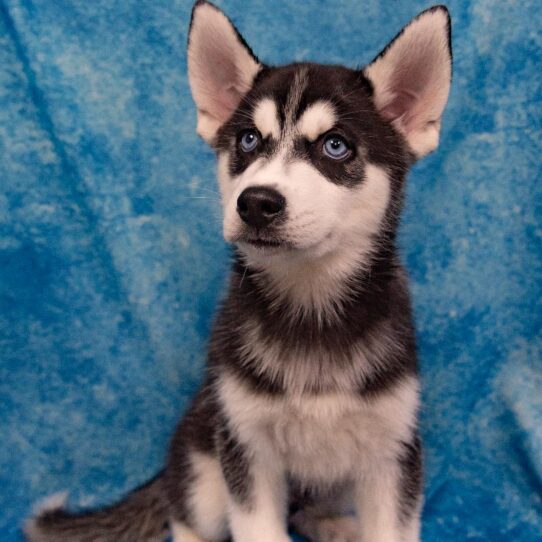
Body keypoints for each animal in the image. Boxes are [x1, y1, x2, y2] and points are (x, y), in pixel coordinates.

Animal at [23, 2, 452, 540]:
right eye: (248, 140)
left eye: (335, 146)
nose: (257, 202)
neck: (310, 309)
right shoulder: (245, 449)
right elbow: (257, 526)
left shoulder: (392, 452)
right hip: (205, 461)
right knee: (184, 514)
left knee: (308, 507)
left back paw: (335, 525)